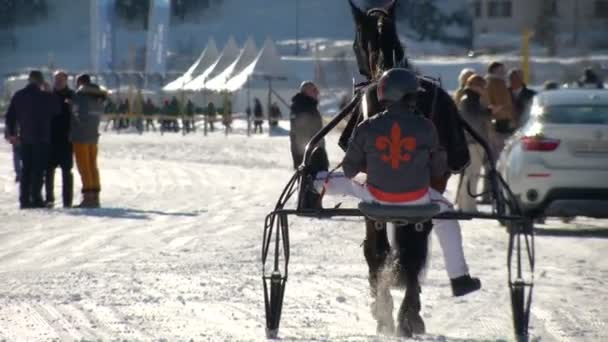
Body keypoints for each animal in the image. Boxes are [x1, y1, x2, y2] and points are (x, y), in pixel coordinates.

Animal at [342, 0, 470, 336]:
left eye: (355, 43)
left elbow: (376, 249)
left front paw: (381, 305)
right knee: (414, 246)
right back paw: (408, 313)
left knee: (389, 248)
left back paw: (392, 312)